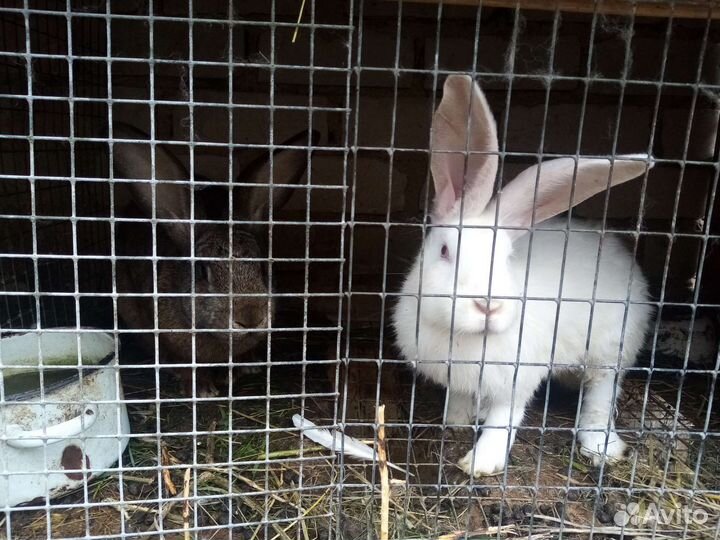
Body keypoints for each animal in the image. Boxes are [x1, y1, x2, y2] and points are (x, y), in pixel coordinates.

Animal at [392, 75, 655, 477]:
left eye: (507, 258)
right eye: (445, 251)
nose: (488, 306)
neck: (466, 337)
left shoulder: (517, 380)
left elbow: (504, 420)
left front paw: (480, 463)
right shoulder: (459, 379)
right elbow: (459, 400)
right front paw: (456, 422)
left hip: (612, 347)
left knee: (601, 392)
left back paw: (601, 447)